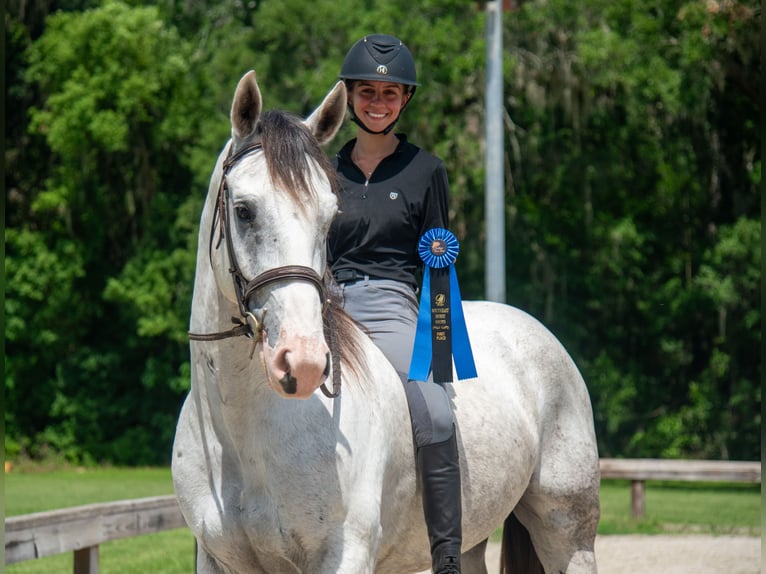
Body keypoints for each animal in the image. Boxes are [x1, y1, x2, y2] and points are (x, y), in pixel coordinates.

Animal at [172, 70, 601, 574]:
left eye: (329, 218)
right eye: (244, 210)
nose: (304, 363)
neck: (245, 435)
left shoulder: (345, 554)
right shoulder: (217, 559)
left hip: (567, 532)